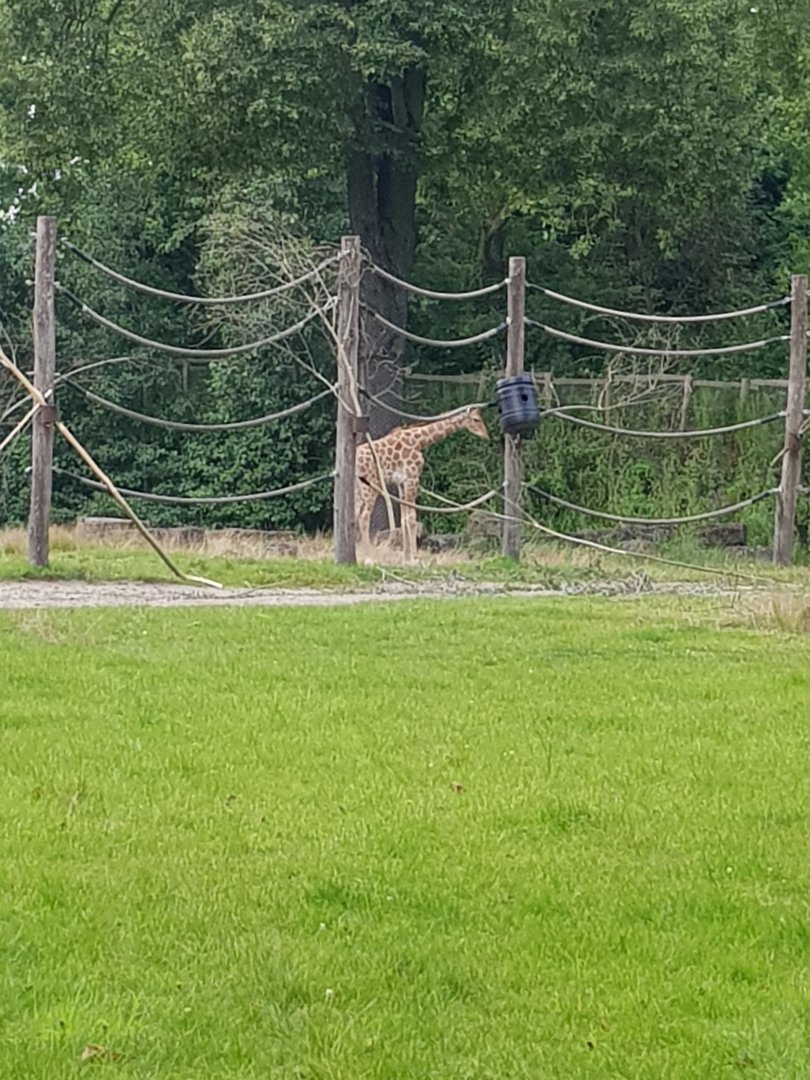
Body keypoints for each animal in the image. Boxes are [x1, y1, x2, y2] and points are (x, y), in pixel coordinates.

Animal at [355, 406, 490, 562]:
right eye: (476, 419)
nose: (486, 436)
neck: (419, 441)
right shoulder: (412, 478)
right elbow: (412, 518)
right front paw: (414, 557)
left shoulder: (401, 482)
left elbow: (404, 518)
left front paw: (406, 557)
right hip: (369, 485)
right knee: (364, 516)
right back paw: (368, 556)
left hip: (358, 488)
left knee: (354, 514)